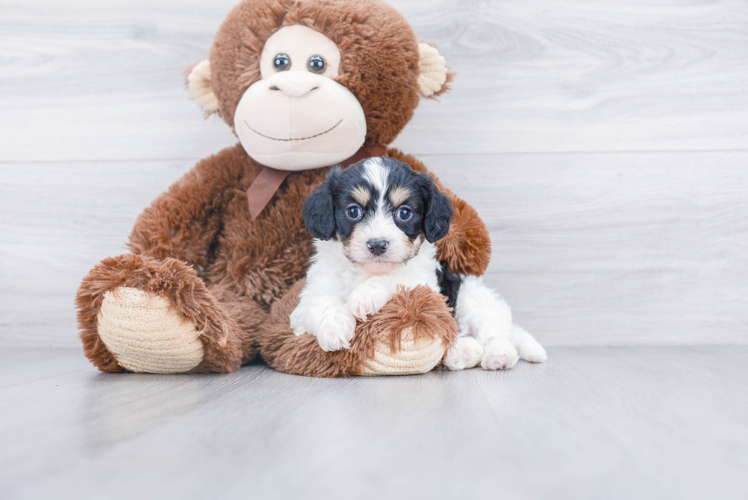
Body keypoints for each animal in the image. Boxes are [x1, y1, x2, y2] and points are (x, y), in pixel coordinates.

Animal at [290, 158, 548, 370]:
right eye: (353, 211)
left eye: (404, 213)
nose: (377, 245)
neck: (367, 271)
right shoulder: (309, 299)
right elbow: (319, 302)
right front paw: (334, 327)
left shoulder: (426, 287)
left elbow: (396, 278)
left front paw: (366, 294)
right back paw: (459, 354)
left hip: (474, 300)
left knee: (496, 335)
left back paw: (499, 357)